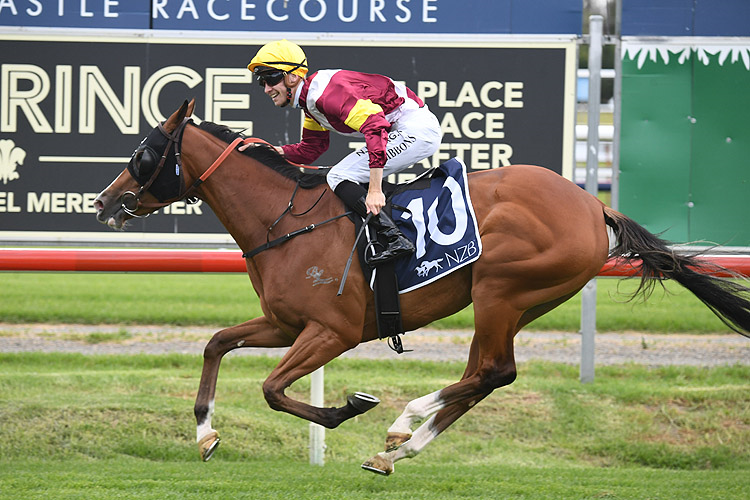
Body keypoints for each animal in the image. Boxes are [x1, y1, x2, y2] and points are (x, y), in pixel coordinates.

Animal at [92, 99, 750, 474]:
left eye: (144, 151)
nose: (103, 201)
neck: (287, 221)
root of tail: (594, 205)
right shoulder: (284, 322)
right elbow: (216, 344)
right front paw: (205, 434)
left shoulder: (331, 331)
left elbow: (273, 389)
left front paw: (346, 408)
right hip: (518, 301)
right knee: (487, 374)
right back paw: (397, 448)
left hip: (501, 290)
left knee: (492, 371)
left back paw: (402, 423)